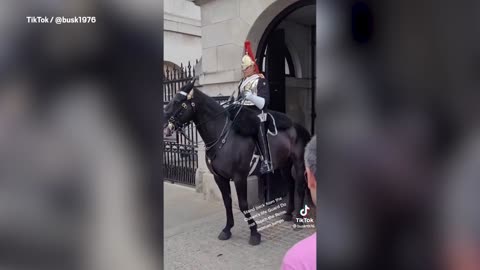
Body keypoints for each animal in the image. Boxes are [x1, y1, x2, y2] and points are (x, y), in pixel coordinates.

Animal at [163, 81, 310, 246]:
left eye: (178, 101)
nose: (164, 120)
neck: (223, 136)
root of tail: (298, 127)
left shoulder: (240, 177)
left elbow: (243, 204)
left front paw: (254, 233)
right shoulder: (219, 177)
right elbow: (227, 202)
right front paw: (227, 229)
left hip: (298, 163)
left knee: (300, 188)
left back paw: (298, 220)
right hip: (284, 164)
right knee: (290, 185)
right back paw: (288, 213)